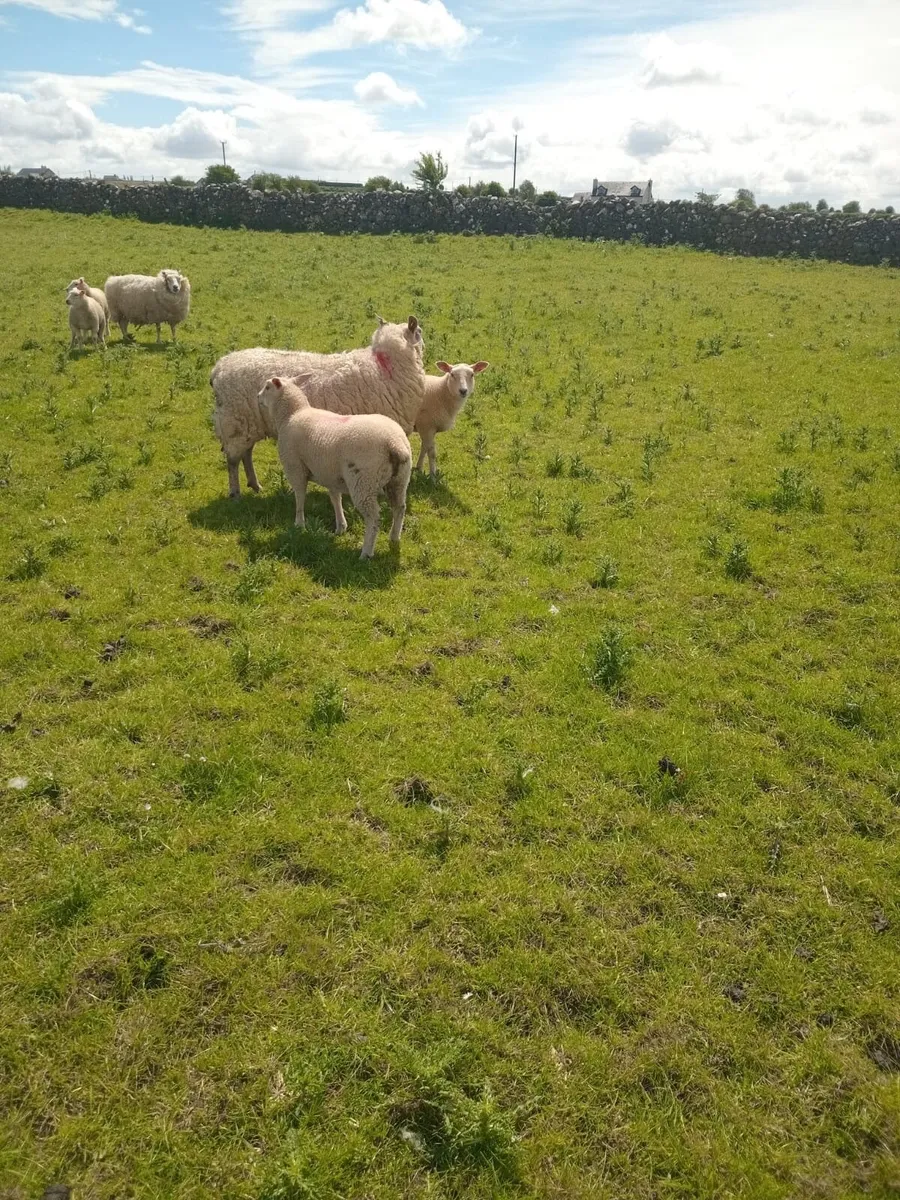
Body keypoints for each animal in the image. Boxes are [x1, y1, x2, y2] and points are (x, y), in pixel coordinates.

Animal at [210, 315, 425, 500]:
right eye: (419, 331)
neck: (387, 365)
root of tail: (219, 368)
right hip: (235, 422)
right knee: (233, 460)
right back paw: (235, 493)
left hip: (248, 425)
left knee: (246, 454)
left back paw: (255, 485)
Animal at [258, 375, 412, 559]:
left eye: (267, 387)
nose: (258, 397)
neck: (292, 414)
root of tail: (394, 443)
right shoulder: (331, 474)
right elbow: (335, 499)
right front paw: (340, 527)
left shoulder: (295, 468)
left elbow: (300, 497)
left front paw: (299, 524)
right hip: (400, 480)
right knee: (400, 508)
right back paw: (394, 537)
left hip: (363, 482)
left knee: (373, 518)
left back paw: (366, 553)